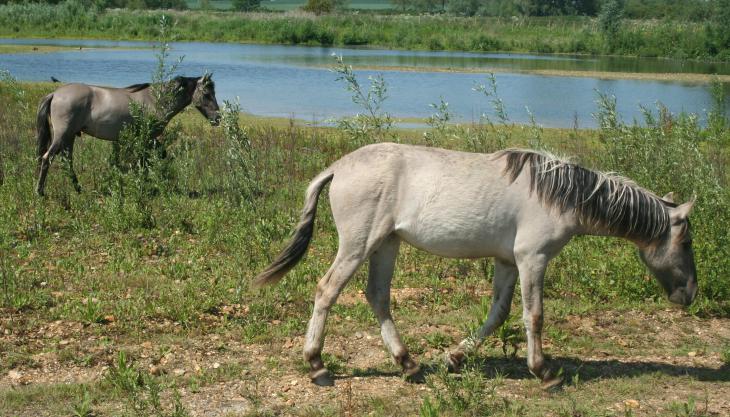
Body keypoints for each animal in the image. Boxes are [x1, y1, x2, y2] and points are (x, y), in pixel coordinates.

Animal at [34, 74, 219, 195]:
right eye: (206, 94)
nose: (218, 118)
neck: (155, 100)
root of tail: (55, 94)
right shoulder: (147, 138)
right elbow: (145, 161)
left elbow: (157, 156)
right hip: (62, 136)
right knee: (46, 158)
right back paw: (40, 191)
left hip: (70, 136)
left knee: (67, 162)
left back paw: (78, 188)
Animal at [253, 142, 696, 386]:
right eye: (687, 240)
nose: (690, 293)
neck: (560, 196)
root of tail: (337, 167)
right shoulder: (533, 259)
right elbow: (534, 315)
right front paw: (544, 373)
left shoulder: (507, 261)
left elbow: (498, 314)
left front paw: (455, 357)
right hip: (358, 245)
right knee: (327, 291)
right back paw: (317, 366)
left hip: (386, 244)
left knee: (377, 296)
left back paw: (408, 364)